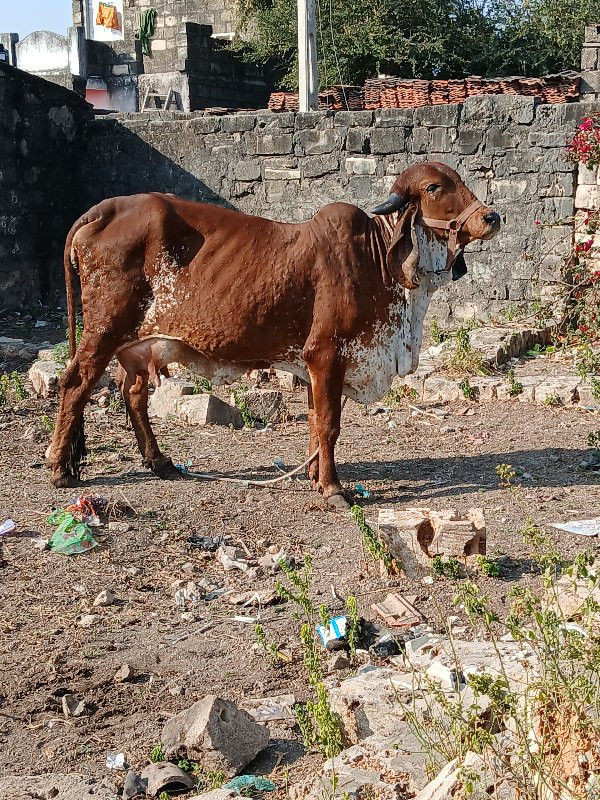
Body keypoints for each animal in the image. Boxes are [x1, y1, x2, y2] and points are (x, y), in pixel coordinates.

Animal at [47, 162, 500, 510]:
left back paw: (159, 462)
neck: (378, 259)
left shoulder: (313, 365)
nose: (491, 217)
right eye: (434, 187)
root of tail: (103, 209)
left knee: (134, 393)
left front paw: (314, 474)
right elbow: (329, 424)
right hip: (103, 331)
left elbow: (316, 422)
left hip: (138, 345)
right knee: (75, 384)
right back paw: (60, 469)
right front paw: (333, 490)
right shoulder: (326, 355)